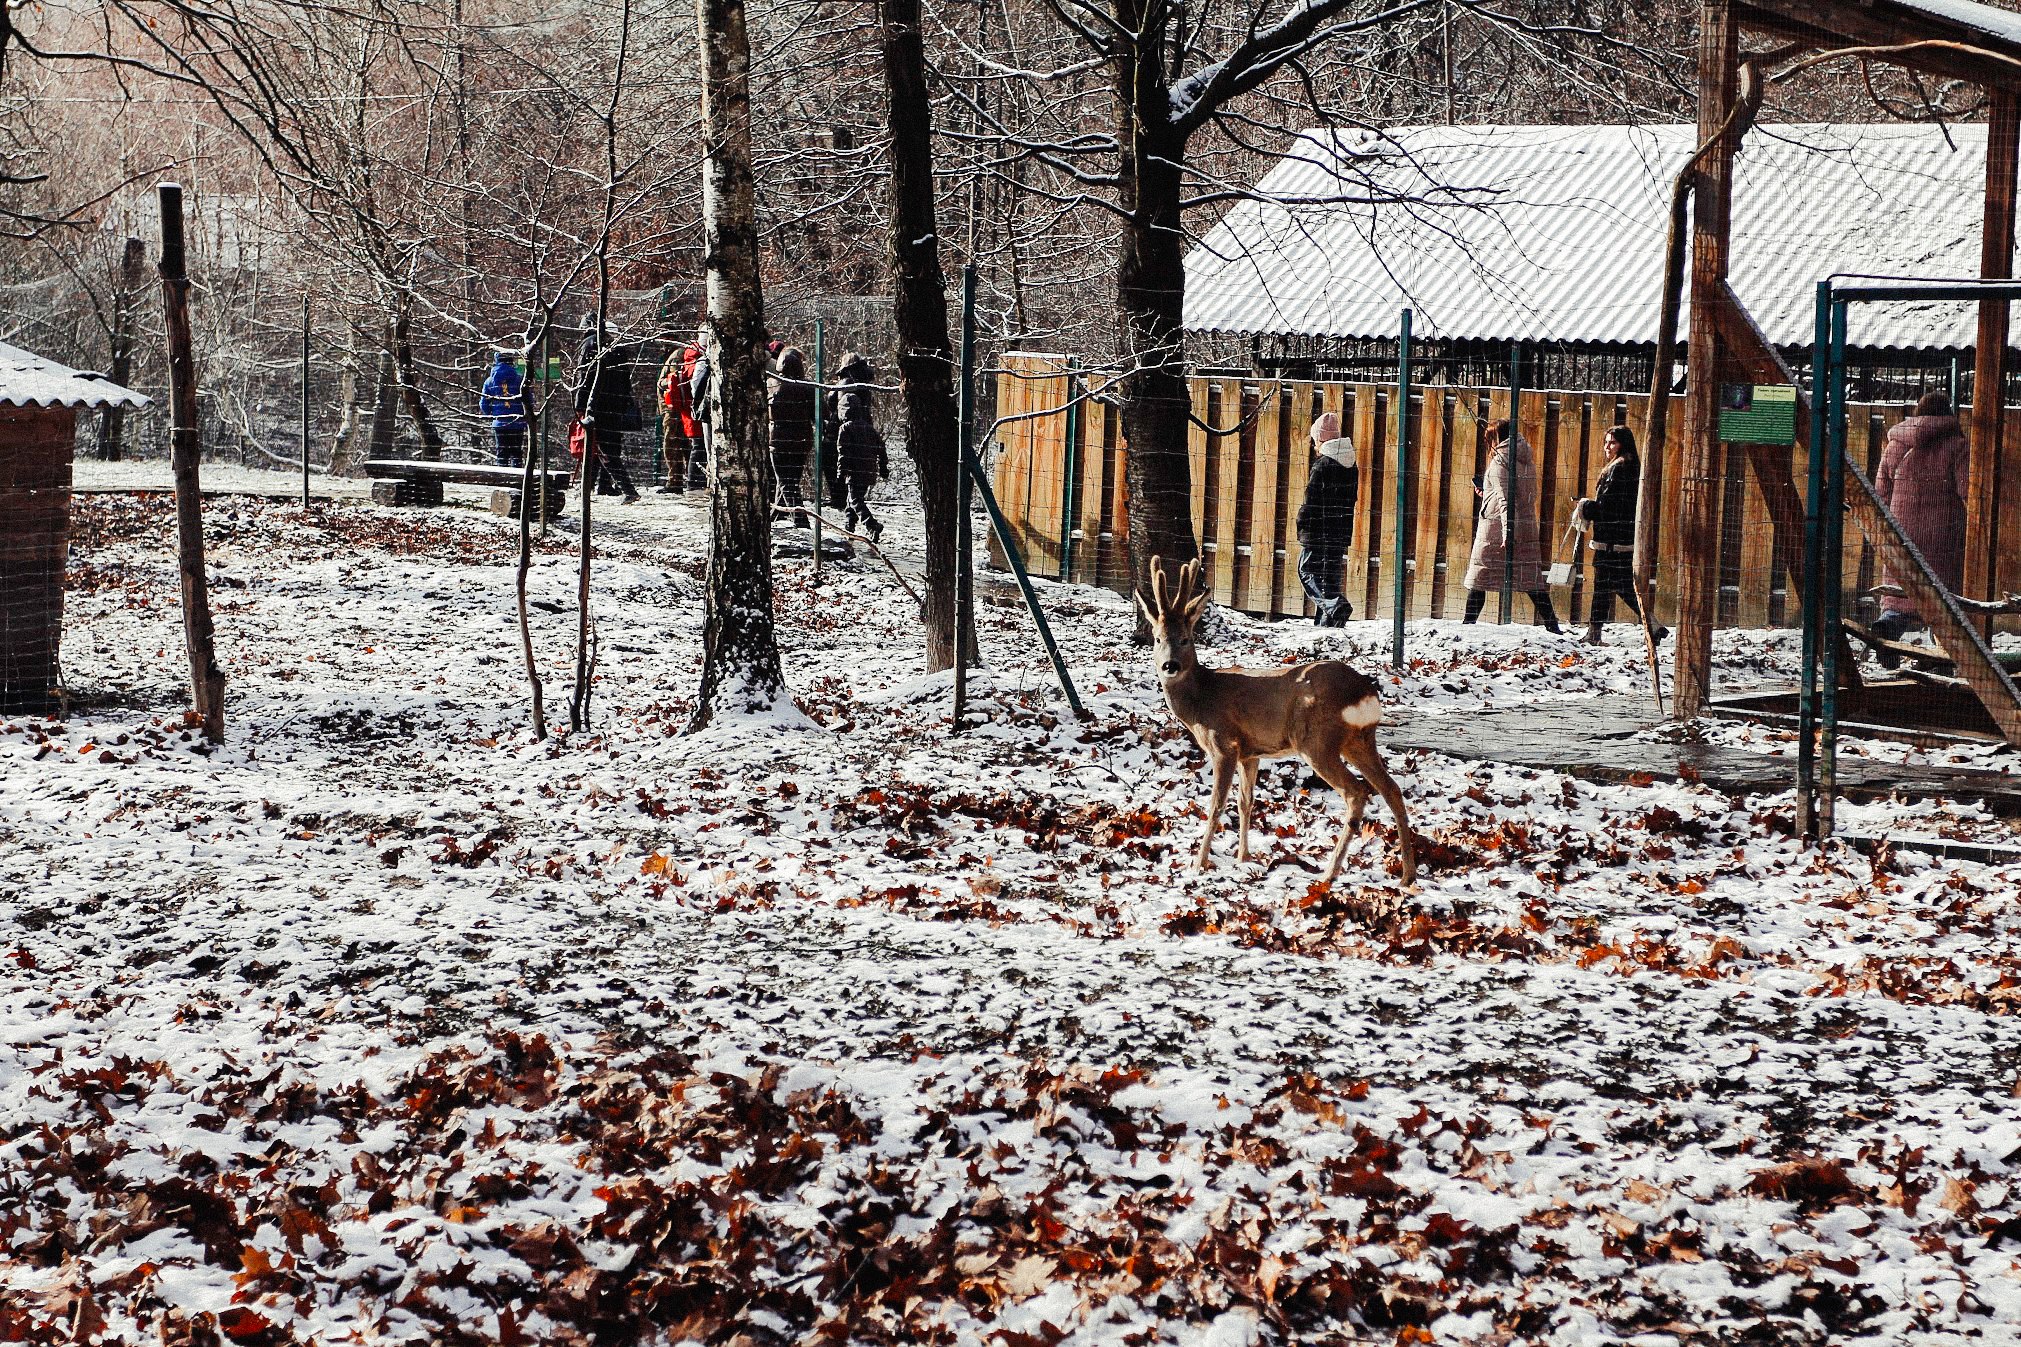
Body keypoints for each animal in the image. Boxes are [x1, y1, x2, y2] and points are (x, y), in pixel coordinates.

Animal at [1147, 557, 1414, 884]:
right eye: (1158, 638)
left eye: (1185, 639)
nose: (1169, 665)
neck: (1202, 698)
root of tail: (1364, 693)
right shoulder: (1250, 753)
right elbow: (1245, 802)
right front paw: (1243, 858)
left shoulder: (1224, 743)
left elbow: (1216, 805)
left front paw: (1198, 864)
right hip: (1360, 739)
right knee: (1392, 789)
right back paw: (1407, 875)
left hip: (1317, 741)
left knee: (1357, 791)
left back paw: (1330, 872)